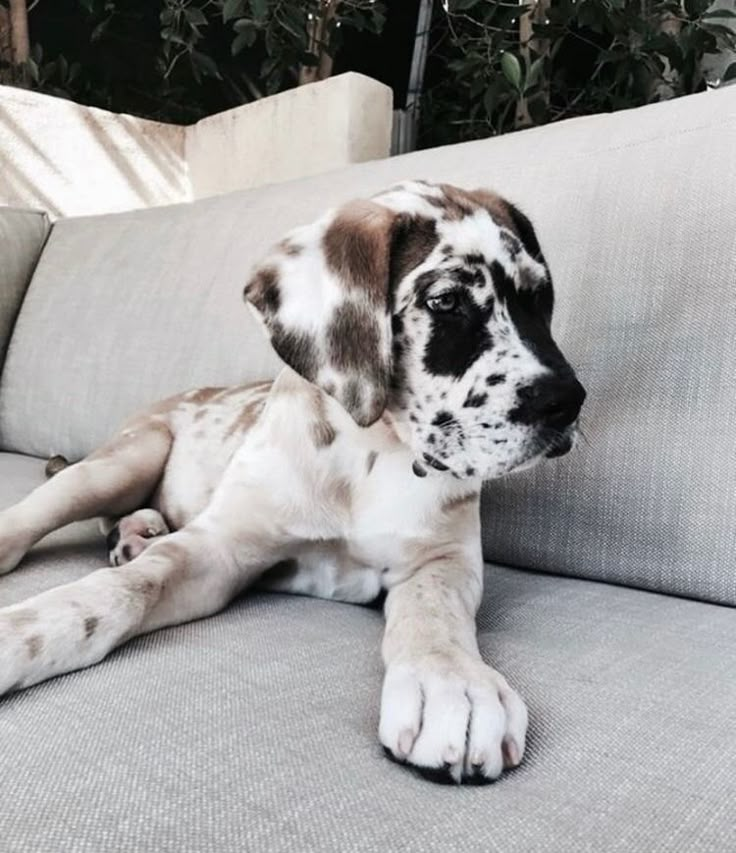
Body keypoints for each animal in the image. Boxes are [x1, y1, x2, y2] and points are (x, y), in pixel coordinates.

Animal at [0, 183, 588, 784]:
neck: (370, 449)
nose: (566, 403)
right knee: (36, 515)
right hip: (124, 459)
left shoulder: (445, 560)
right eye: (445, 301)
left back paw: (137, 533)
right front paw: (23, 633)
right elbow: (121, 590)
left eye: (539, 297)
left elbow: (434, 611)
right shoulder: (218, 550)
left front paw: (452, 683)